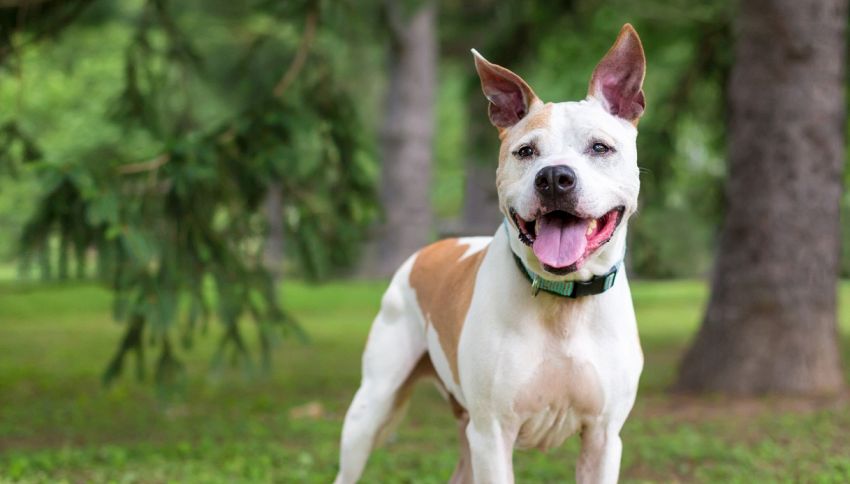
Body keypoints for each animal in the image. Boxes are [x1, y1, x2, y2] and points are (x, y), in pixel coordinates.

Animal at [334, 25, 644, 484]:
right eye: (526, 151)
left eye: (600, 148)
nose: (555, 177)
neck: (563, 301)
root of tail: (438, 244)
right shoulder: (493, 433)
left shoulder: (604, 437)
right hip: (372, 407)